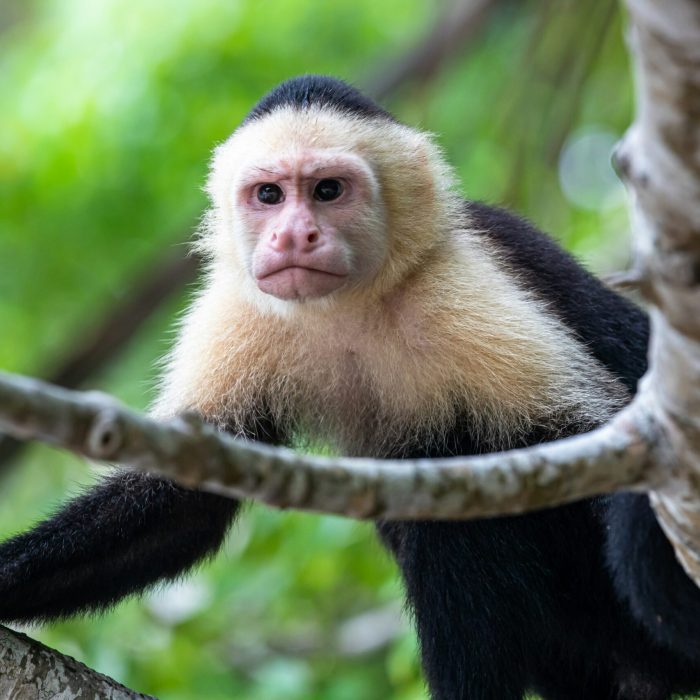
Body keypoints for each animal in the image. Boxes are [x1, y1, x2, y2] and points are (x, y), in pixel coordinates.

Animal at [1, 75, 700, 700]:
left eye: (328, 190)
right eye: (268, 194)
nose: (293, 234)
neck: (349, 310)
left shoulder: (464, 289)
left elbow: (595, 445)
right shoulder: (236, 309)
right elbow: (183, 503)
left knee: (453, 476)